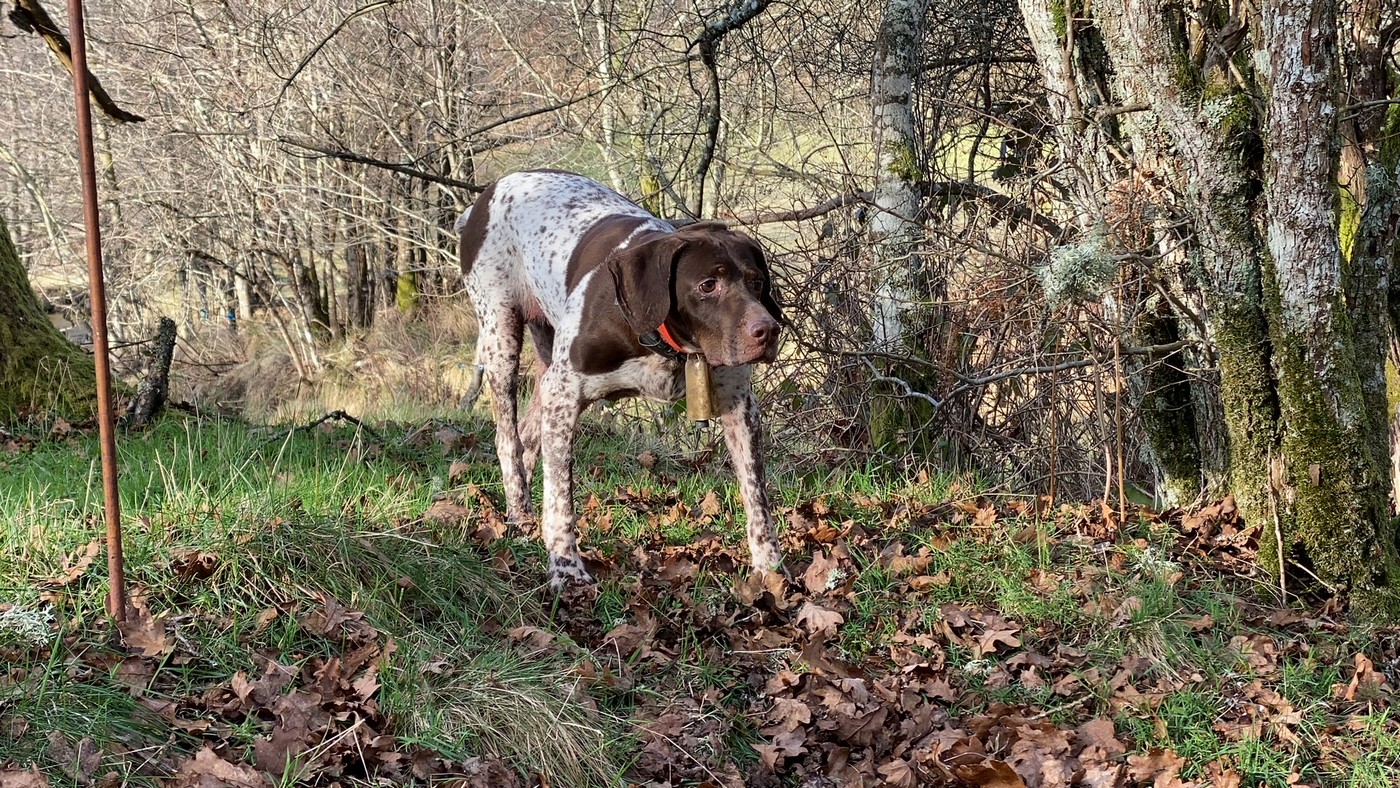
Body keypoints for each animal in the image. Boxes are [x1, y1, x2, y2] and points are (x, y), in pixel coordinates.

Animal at [459, 172, 789, 593]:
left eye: (757, 281)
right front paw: (566, 568)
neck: (667, 345)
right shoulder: (565, 394)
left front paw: (770, 568)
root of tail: (489, 194)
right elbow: (561, 497)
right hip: (501, 336)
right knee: (508, 439)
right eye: (708, 285)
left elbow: (757, 498)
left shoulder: (740, 408)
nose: (768, 331)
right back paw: (518, 515)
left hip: (544, 362)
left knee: (529, 439)